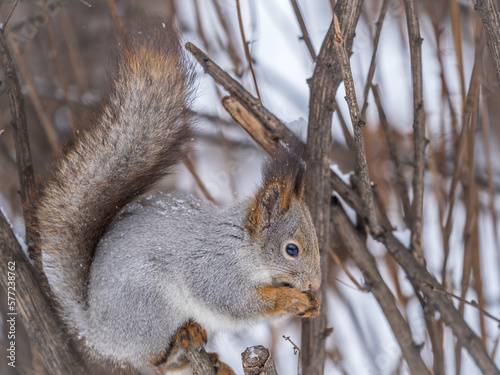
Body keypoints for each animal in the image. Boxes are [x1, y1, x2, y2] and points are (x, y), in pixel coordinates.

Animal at [25, 25, 320, 374]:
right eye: (292, 249)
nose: (315, 284)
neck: (244, 248)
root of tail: (98, 332)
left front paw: (313, 305)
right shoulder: (215, 271)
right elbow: (239, 303)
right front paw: (293, 300)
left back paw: (216, 361)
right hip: (152, 308)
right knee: (154, 361)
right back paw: (184, 337)